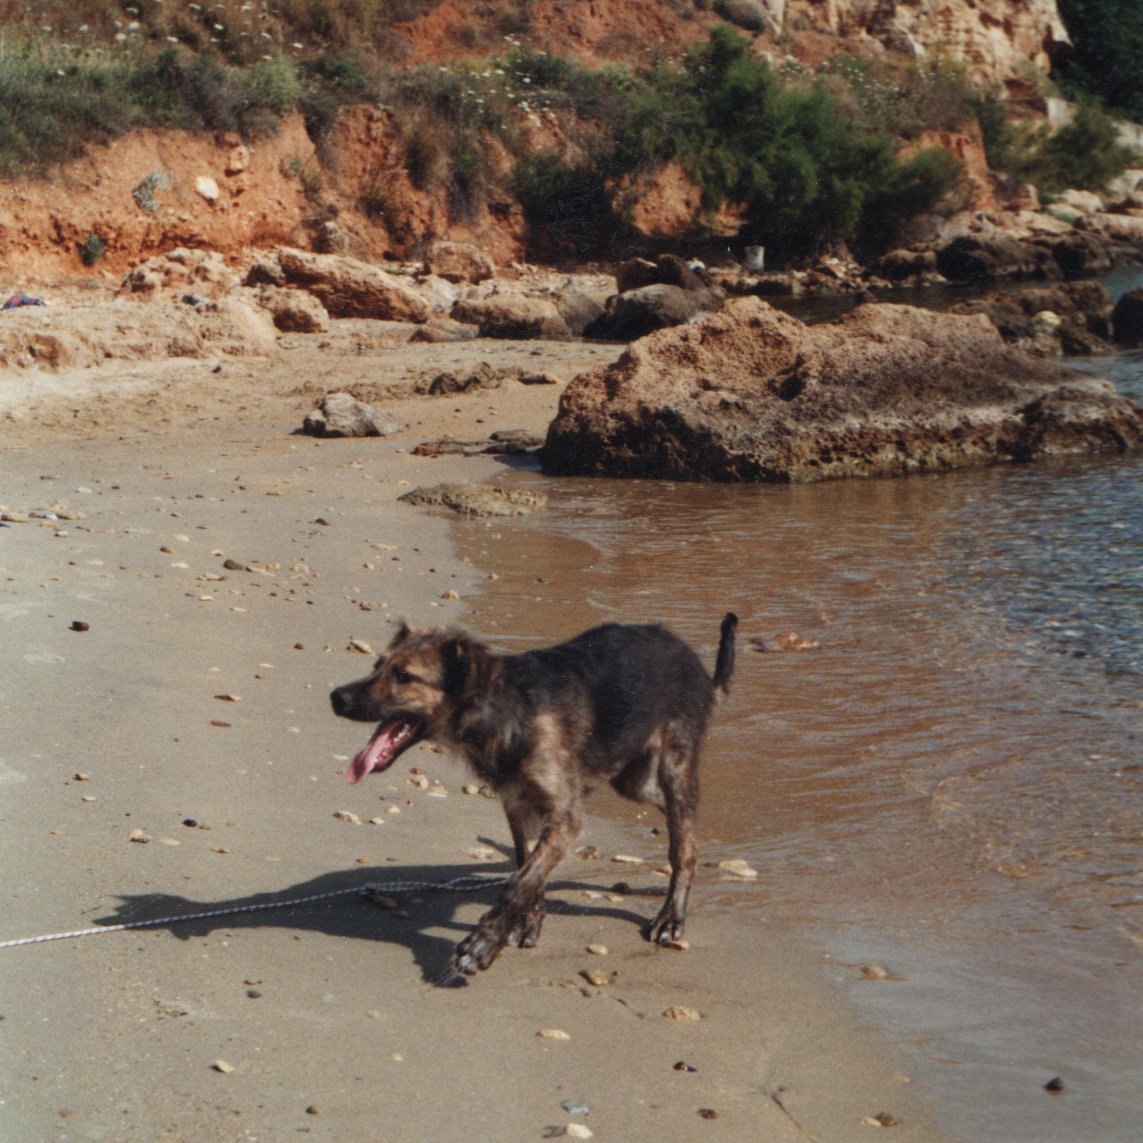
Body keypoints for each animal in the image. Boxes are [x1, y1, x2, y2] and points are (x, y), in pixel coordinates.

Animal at [331, 612, 740, 978]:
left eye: (404, 676)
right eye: (377, 665)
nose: (336, 697)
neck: (504, 710)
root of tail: (695, 662)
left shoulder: (566, 817)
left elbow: (518, 882)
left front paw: (481, 946)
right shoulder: (519, 806)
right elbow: (528, 867)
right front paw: (525, 924)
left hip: (673, 767)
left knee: (685, 844)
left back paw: (671, 916)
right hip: (634, 780)